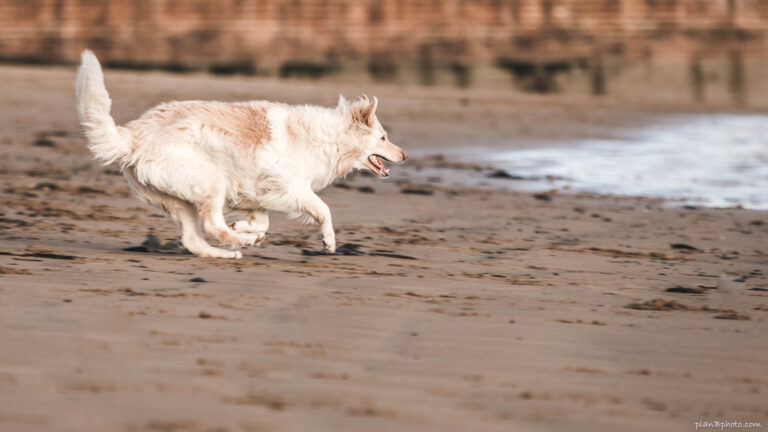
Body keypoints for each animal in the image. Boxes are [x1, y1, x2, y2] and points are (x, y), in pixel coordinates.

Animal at [76, 49, 408, 258]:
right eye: (383, 137)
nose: (404, 155)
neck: (326, 137)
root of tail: (134, 136)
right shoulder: (294, 188)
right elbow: (323, 210)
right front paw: (328, 242)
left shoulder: (257, 193)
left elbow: (262, 221)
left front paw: (244, 226)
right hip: (210, 182)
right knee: (211, 226)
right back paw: (242, 242)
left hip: (180, 199)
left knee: (194, 239)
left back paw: (227, 251)